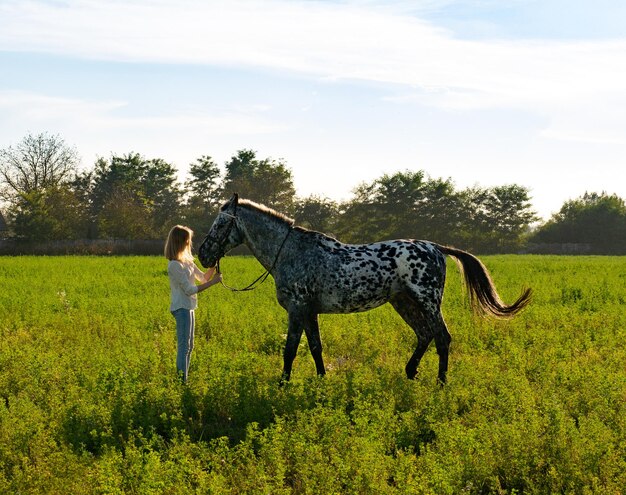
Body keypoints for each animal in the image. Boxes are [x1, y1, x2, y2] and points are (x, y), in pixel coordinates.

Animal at [197, 196, 528, 386]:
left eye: (221, 224)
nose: (203, 254)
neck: (291, 252)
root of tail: (435, 248)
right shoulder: (309, 312)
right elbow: (315, 347)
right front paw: (321, 380)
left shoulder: (297, 309)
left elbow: (290, 349)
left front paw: (282, 385)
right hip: (404, 302)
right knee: (425, 335)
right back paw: (411, 372)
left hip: (427, 301)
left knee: (442, 337)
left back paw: (441, 383)